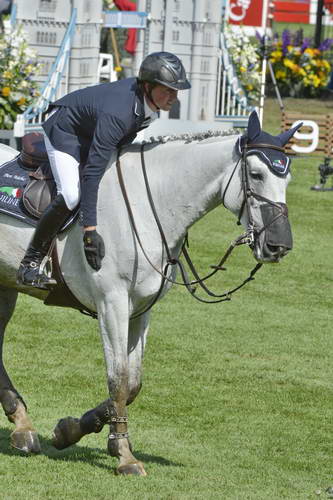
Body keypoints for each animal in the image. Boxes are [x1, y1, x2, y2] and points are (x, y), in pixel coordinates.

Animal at [0, 111, 298, 474]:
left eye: (288, 179)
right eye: (256, 174)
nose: (279, 245)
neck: (148, 206)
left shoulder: (141, 309)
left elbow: (132, 384)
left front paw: (70, 431)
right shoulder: (112, 303)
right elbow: (118, 378)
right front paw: (124, 455)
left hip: (6, 284)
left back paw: (22, 426)